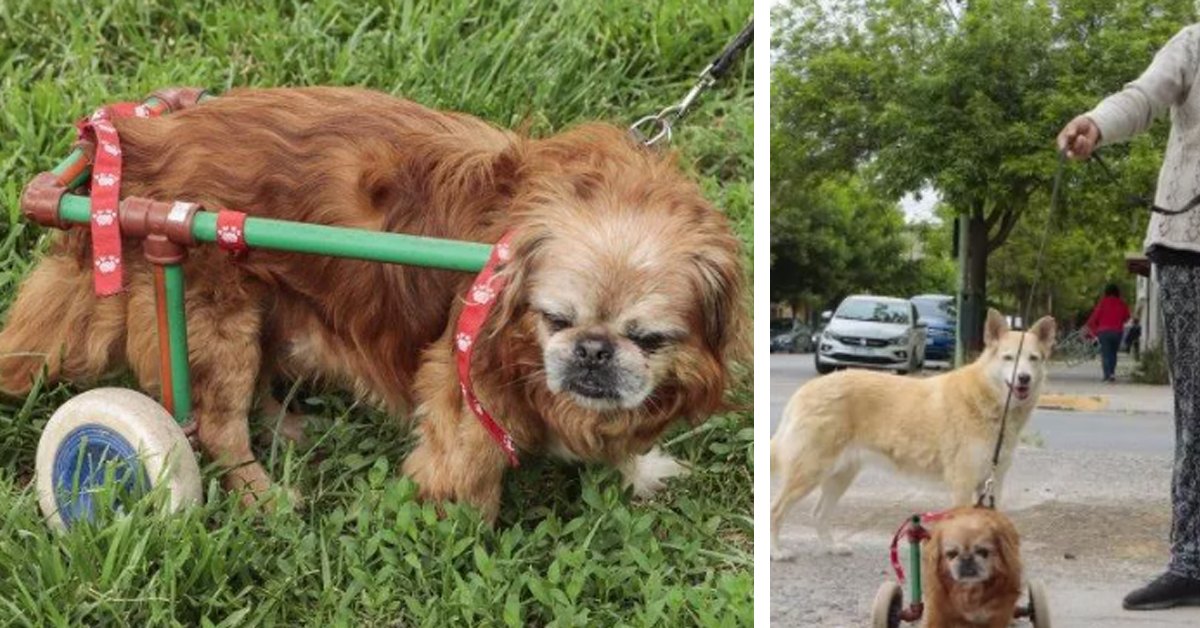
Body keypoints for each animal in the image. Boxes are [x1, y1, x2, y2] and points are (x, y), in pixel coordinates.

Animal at [0, 88, 744, 521]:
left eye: (650, 339)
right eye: (554, 320)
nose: (592, 352)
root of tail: (126, 150)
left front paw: (640, 468)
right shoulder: (465, 387)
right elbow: (466, 472)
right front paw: (465, 538)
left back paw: (288, 425)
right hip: (210, 311)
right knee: (213, 427)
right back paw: (264, 496)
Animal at [772, 309, 1056, 559]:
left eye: (1033, 358)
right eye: (1008, 358)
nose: (1024, 378)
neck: (991, 402)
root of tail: (807, 388)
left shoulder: (993, 483)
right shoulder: (963, 484)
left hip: (840, 476)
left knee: (818, 514)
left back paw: (831, 547)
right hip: (810, 472)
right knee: (775, 511)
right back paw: (776, 552)